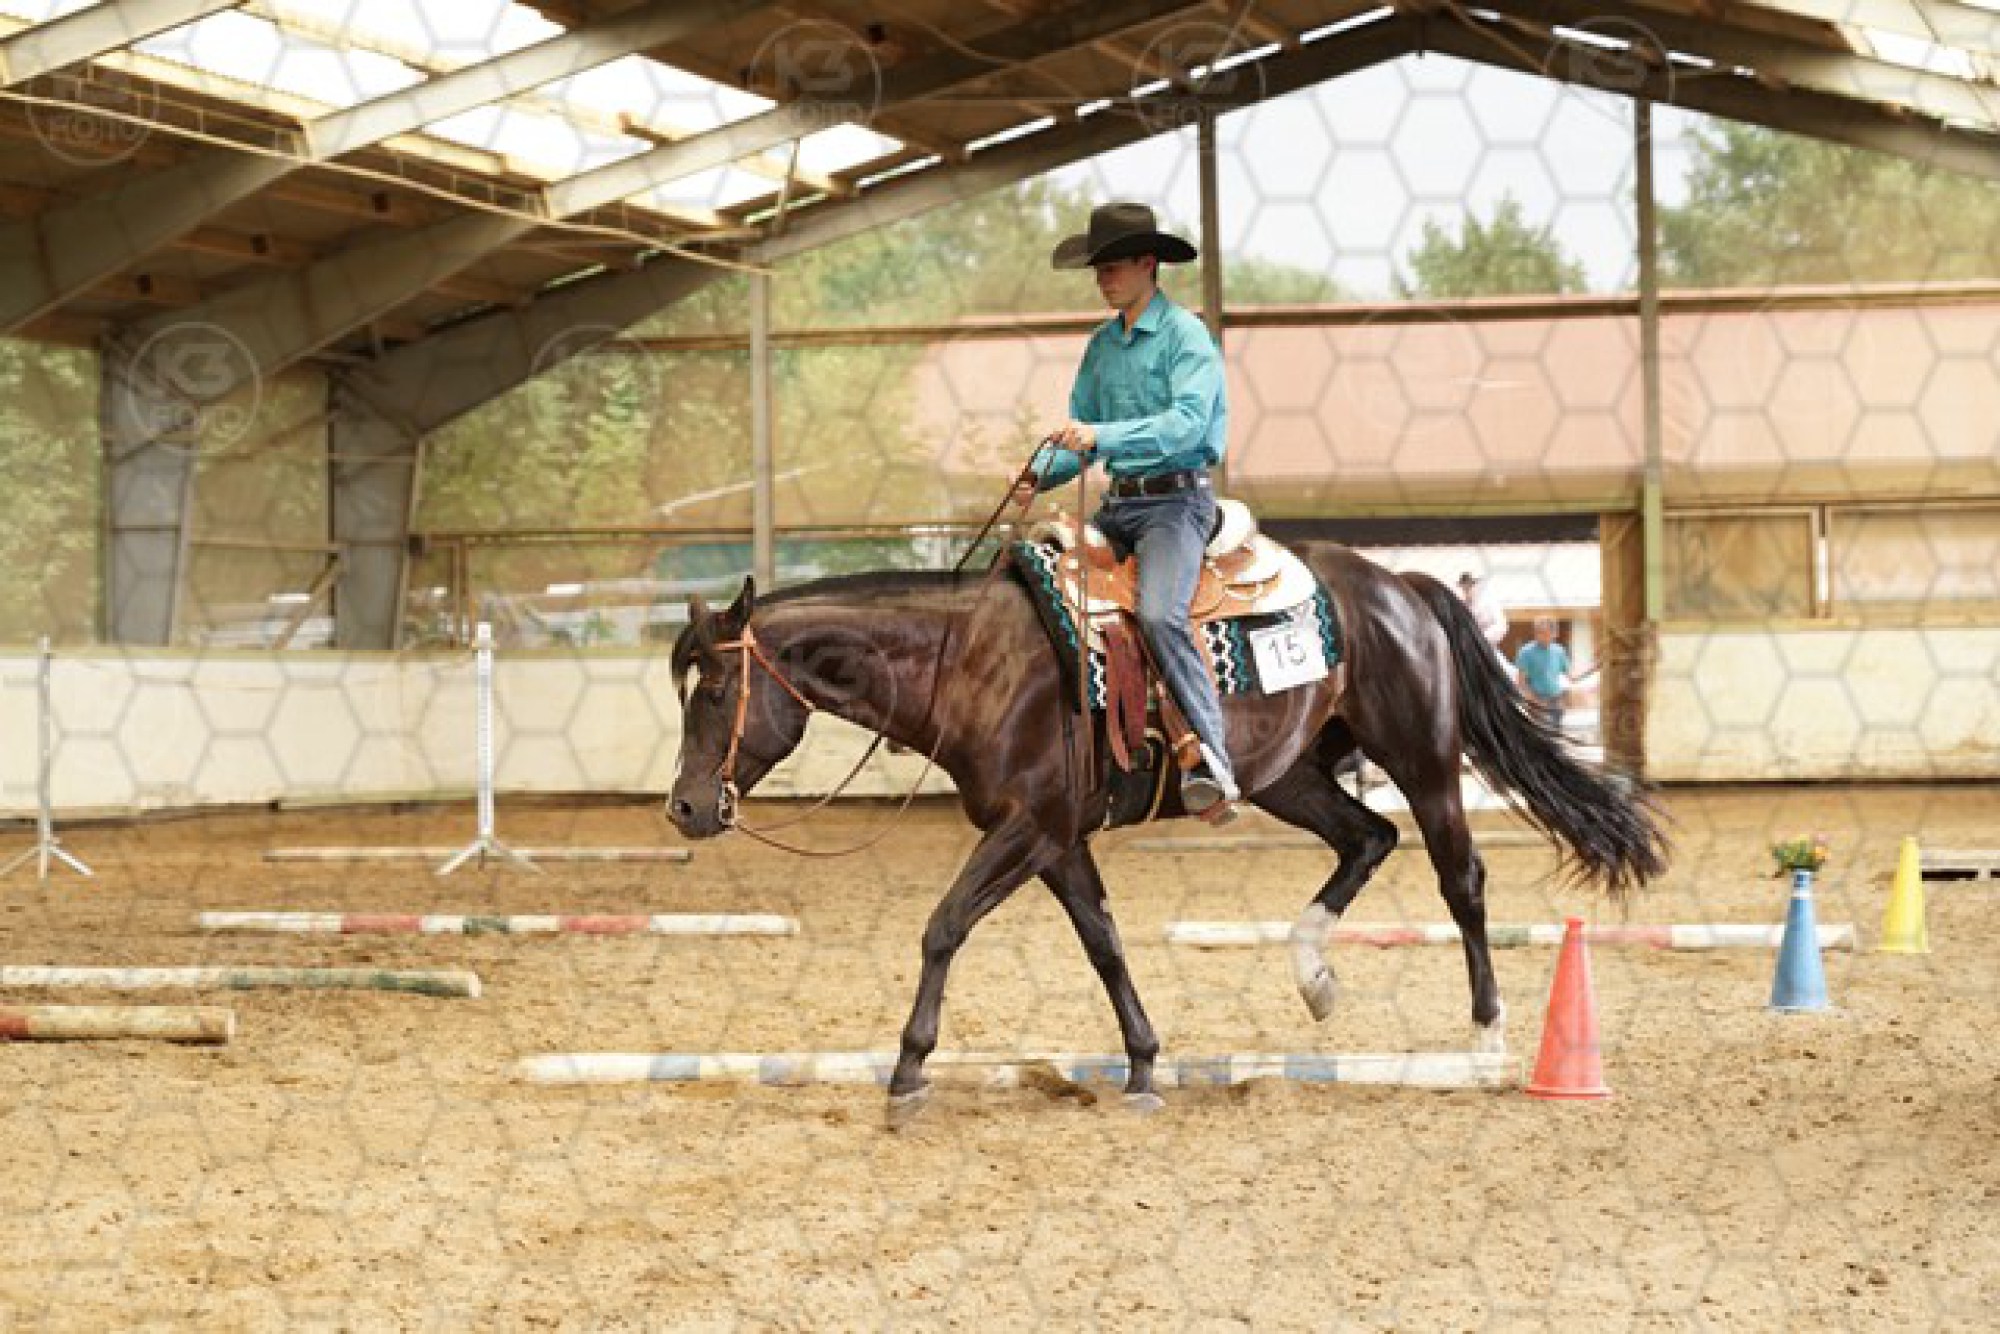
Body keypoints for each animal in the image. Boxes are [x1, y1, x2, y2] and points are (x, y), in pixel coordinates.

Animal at [666, 544, 1668, 1126]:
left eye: (713, 690)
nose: (683, 808)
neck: (973, 664)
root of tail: (1403, 586)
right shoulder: (1056, 839)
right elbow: (1103, 943)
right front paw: (1144, 1063)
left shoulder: (1029, 828)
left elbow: (943, 926)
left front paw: (910, 1069)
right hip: (1291, 774)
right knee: (1367, 840)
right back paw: (1314, 977)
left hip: (1423, 760)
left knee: (1461, 881)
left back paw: (1486, 1039)